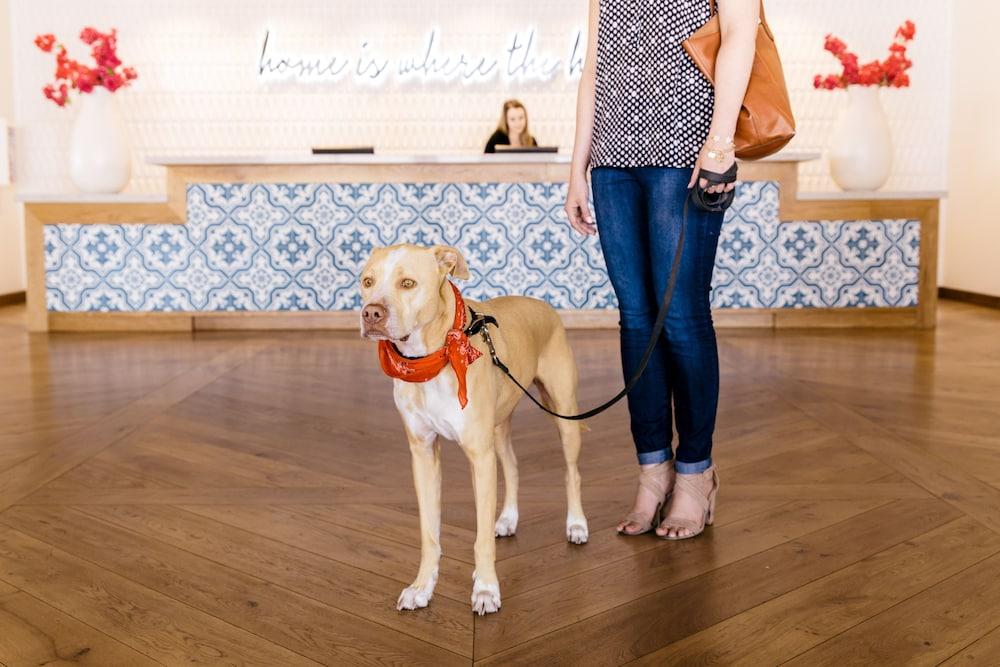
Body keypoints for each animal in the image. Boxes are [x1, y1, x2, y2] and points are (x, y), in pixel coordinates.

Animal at [358, 244, 584, 616]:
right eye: (367, 281)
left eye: (408, 283)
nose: (371, 313)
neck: (433, 356)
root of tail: (542, 304)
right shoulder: (423, 453)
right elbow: (429, 533)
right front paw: (422, 587)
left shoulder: (479, 456)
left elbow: (480, 539)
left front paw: (486, 589)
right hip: (499, 425)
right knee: (512, 465)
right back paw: (508, 518)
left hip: (563, 411)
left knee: (572, 472)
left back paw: (577, 524)